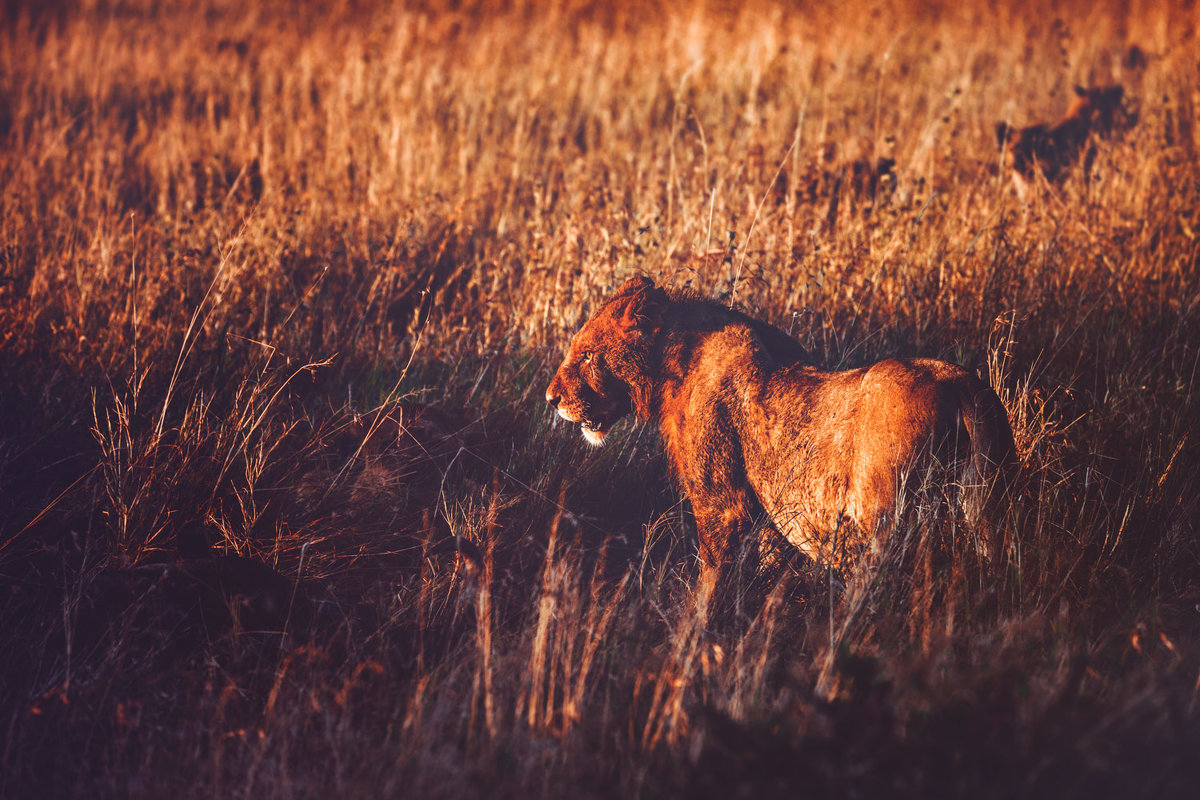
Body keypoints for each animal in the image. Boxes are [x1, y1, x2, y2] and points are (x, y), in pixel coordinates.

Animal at [549, 275, 1017, 587]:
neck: (673, 367)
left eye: (587, 354)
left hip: (882, 522)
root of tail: (962, 385)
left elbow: (711, 579)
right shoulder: (770, 520)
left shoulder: (724, 504)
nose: (552, 399)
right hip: (992, 505)